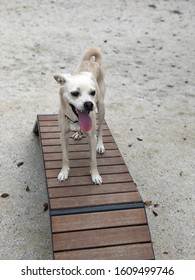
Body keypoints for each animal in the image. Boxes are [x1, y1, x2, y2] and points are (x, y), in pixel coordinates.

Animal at [53, 47, 105, 185]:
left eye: (92, 92)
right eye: (75, 93)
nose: (89, 104)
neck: (75, 119)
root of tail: (91, 61)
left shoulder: (92, 137)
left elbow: (93, 160)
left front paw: (95, 175)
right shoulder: (62, 136)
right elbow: (65, 157)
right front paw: (64, 172)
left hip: (101, 107)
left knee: (101, 128)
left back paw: (100, 145)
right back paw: (78, 133)